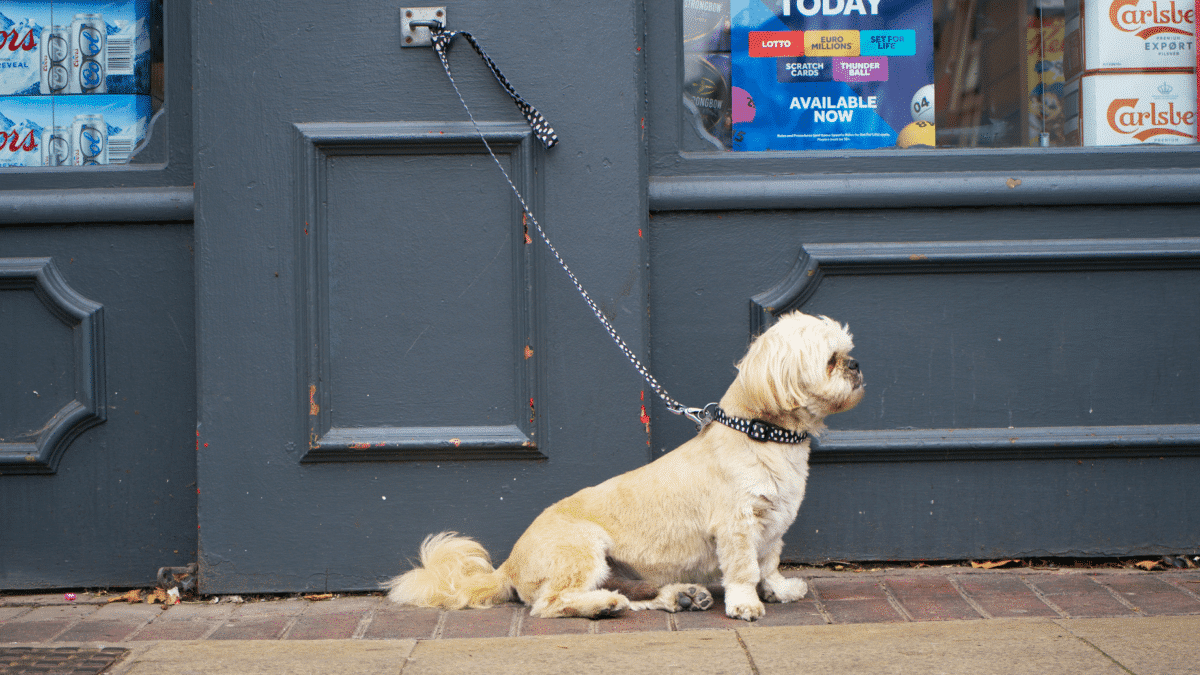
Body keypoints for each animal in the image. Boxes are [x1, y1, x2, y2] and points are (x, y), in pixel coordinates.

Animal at [388, 312, 868, 619]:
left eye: (846, 350)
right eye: (830, 360)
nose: (855, 364)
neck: (763, 434)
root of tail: (508, 565)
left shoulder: (771, 529)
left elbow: (768, 566)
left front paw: (780, 590)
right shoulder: (737, 526)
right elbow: (745, 570)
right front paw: (746, 603)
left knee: (631, 595)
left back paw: (678, 598)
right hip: (583, 549)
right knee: (550, 604)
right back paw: (602, 607)